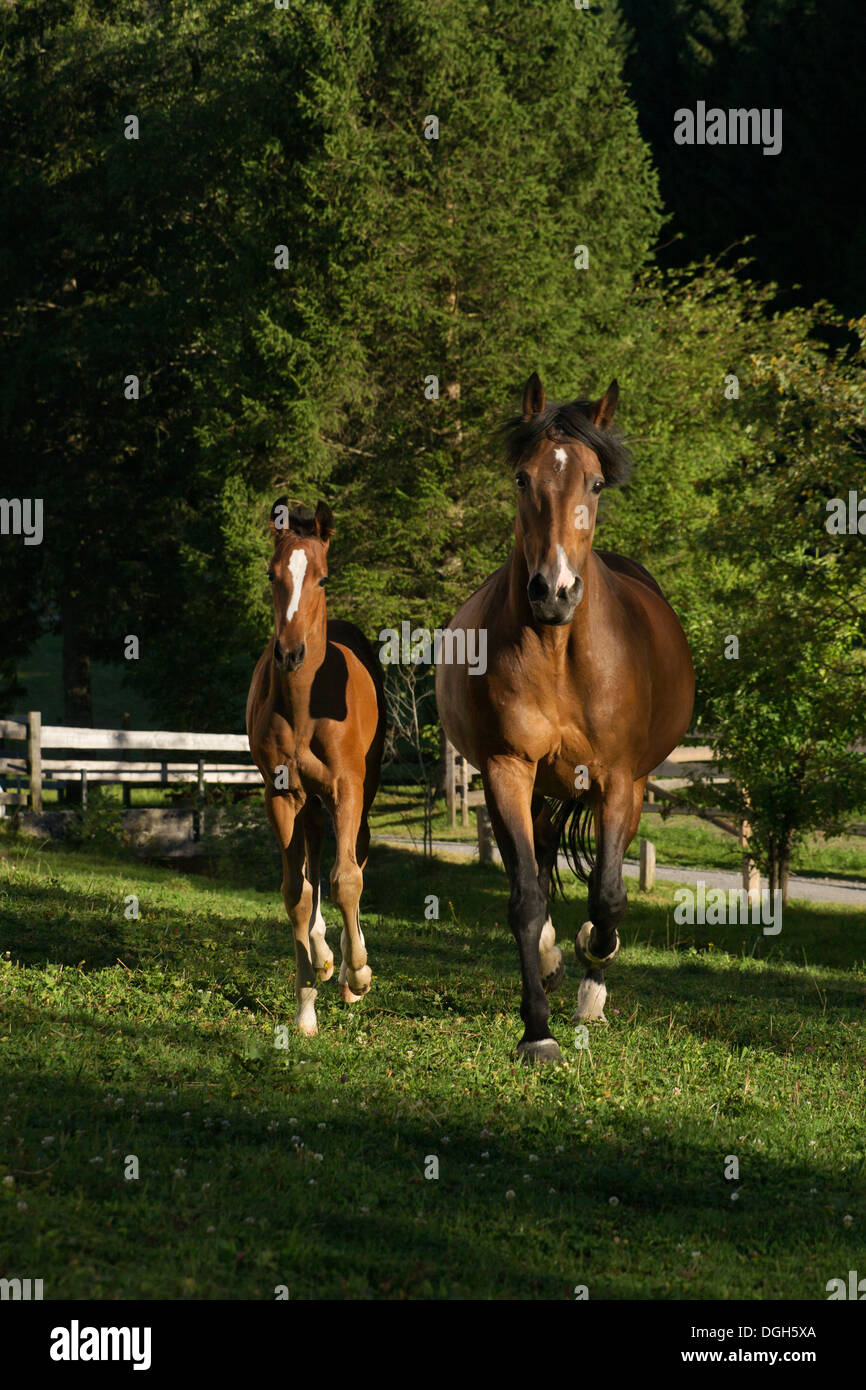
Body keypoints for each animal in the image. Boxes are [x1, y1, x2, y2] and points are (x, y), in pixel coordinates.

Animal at [248, 500, 389, 1034]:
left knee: (356, 855)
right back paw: (326, 956)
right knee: (311, 862)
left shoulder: (347, 788)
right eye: (271, 574)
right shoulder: (282, 796)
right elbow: (297, 893)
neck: (305, 708)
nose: (289, 653)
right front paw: (306, 1007)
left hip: (361, 793)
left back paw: (349, 970)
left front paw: (359, 975)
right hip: (308, 803)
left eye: (323, 578)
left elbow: (347, 878)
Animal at [436, 372, 695, 1061]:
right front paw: (537, 1030)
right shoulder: (507, 770)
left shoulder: (617, 781)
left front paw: (591, 969)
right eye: (522, 478)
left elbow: (608, 894)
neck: (557, 652)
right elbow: (526, 897)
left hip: (623, 788)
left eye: (596, 484)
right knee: (536, 859)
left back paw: (586, 983)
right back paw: (553, 963)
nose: (554, 591)